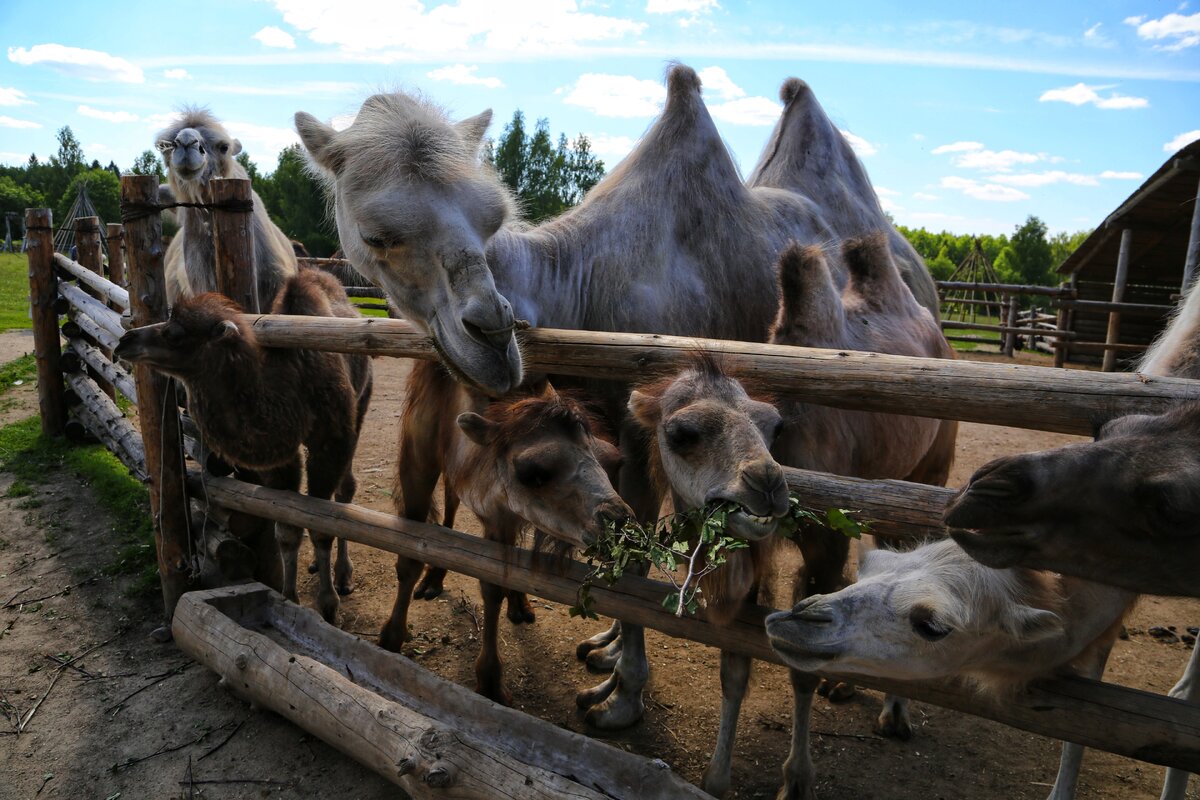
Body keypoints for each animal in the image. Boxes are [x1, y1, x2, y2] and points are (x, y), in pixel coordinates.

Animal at [115, 272, 374, 623]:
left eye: (175, 334)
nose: (124, 340)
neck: (291, 387)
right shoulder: (282, 460)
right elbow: (287, 530)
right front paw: (289, 597)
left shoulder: (331, 441)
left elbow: (322, 527)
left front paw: (328, 605)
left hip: (360, 406)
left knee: (345, 490)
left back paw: (343, 576)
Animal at [379, 359, 633, 705]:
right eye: (532, 472)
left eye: (613, 461)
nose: (619, 522)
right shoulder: (419, 457)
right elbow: (408, 555)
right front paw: (391, 635)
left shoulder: (501, 508)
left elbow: (493, 583)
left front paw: (490, 679)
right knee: (450, 499)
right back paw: (434, 580)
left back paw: (520, 604)